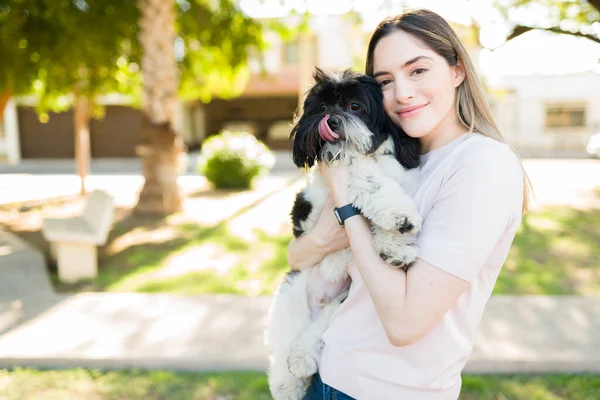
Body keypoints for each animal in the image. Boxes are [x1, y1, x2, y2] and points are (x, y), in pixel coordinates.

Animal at [264, 69, 424, 400]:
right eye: (323, 108)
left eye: (354, 107)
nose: (333, 121)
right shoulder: (342, 172)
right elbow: (369, 180)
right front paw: (399, 214)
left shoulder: (407, 180)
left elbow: (384, 220)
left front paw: (397, 244)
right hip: (292, 295)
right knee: (283, 344)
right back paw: (287, 383)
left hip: (341, 297)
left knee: (317, 330)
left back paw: (301, 359)